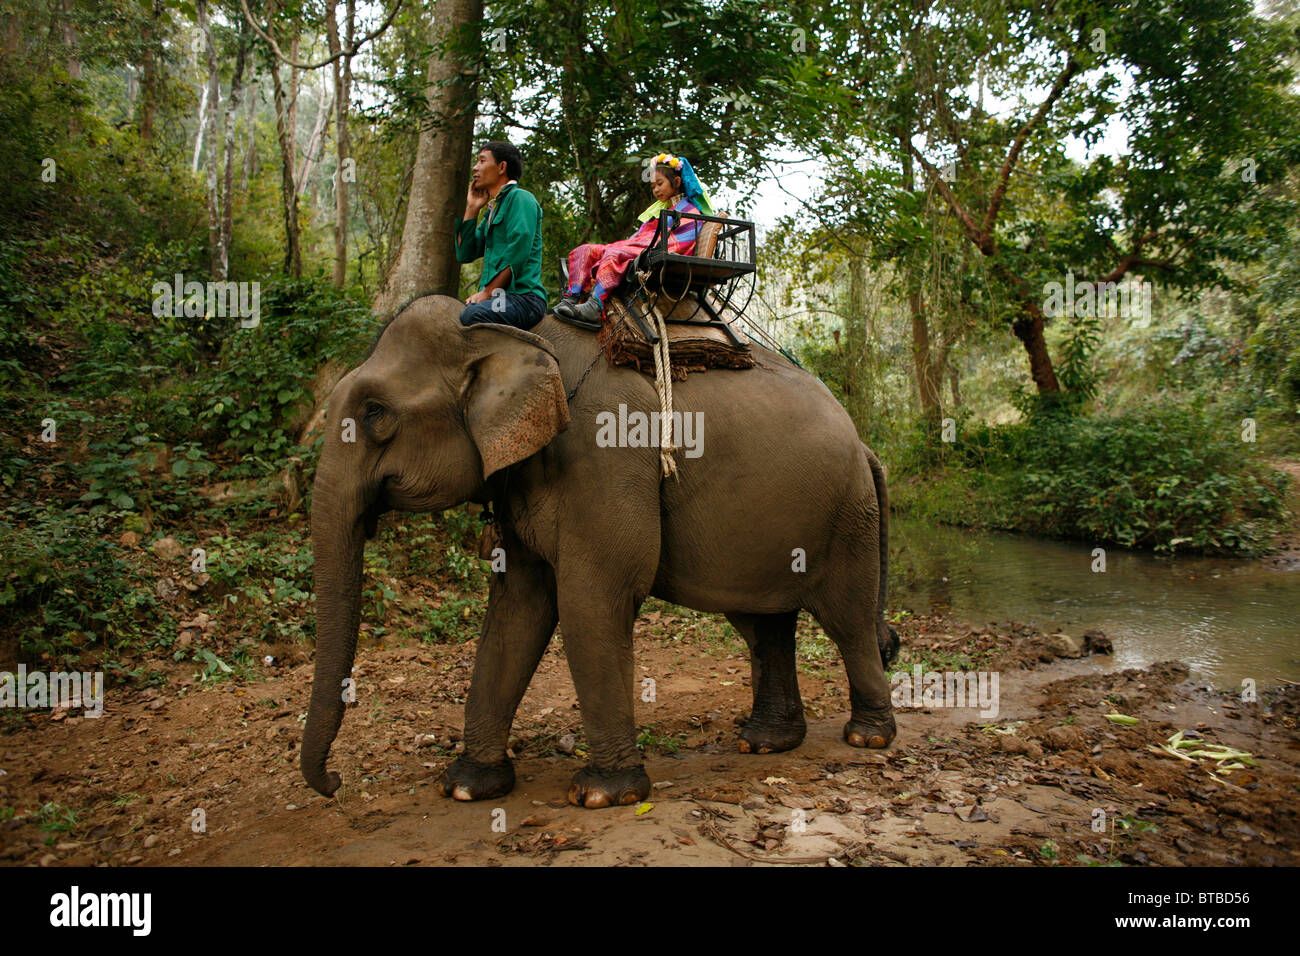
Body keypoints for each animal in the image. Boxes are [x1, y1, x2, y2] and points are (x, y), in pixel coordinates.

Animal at [300, 291, 899, 806]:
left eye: (375, 413)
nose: (333, 784)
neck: (510, 333)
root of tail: (865, 445)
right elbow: (518, 606)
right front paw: (468, 786)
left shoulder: (607, 452)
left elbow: (593, 598)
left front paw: (603, 794)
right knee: (764, 624)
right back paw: (765, 742)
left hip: (849, 518)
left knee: (847, 618)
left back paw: (867, 737)